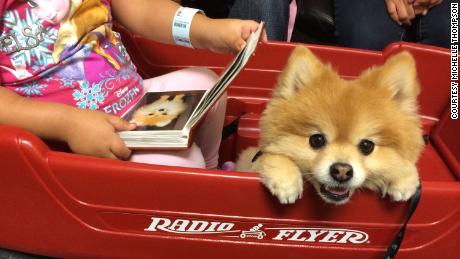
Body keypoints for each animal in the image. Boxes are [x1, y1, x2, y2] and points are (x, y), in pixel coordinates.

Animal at [237, 46, 424, 205]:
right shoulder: (252, 159)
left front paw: (404, 176)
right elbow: (271, 155)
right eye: (317, 140)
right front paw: (285, 178)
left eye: (367, 146)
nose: (342, 171)